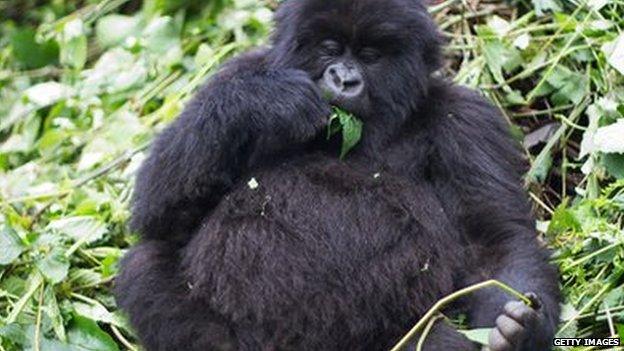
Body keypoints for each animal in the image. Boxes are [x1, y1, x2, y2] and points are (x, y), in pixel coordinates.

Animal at [116, 0, 560, 351]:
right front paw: (265, 99)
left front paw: (520, 332)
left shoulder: (468, 122)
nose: (343, 79)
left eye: (370, 55)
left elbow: (494, 240)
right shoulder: (233, 73)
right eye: (329, 48)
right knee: (144, 262)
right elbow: (160, 208)